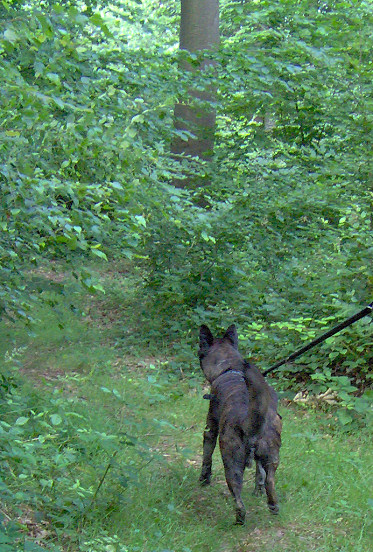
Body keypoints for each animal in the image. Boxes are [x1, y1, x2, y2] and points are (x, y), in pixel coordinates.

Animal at [199, 326, 280, 524]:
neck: (231, 368)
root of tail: (247, 419)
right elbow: (260, 474)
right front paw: (258, 491)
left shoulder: (210, 430)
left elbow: (206, 458)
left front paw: (204, 480)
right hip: (272, 455)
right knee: (269, 479)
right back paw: (273, 505)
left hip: (231, 460)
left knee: (237, 495)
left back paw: (239, 519)